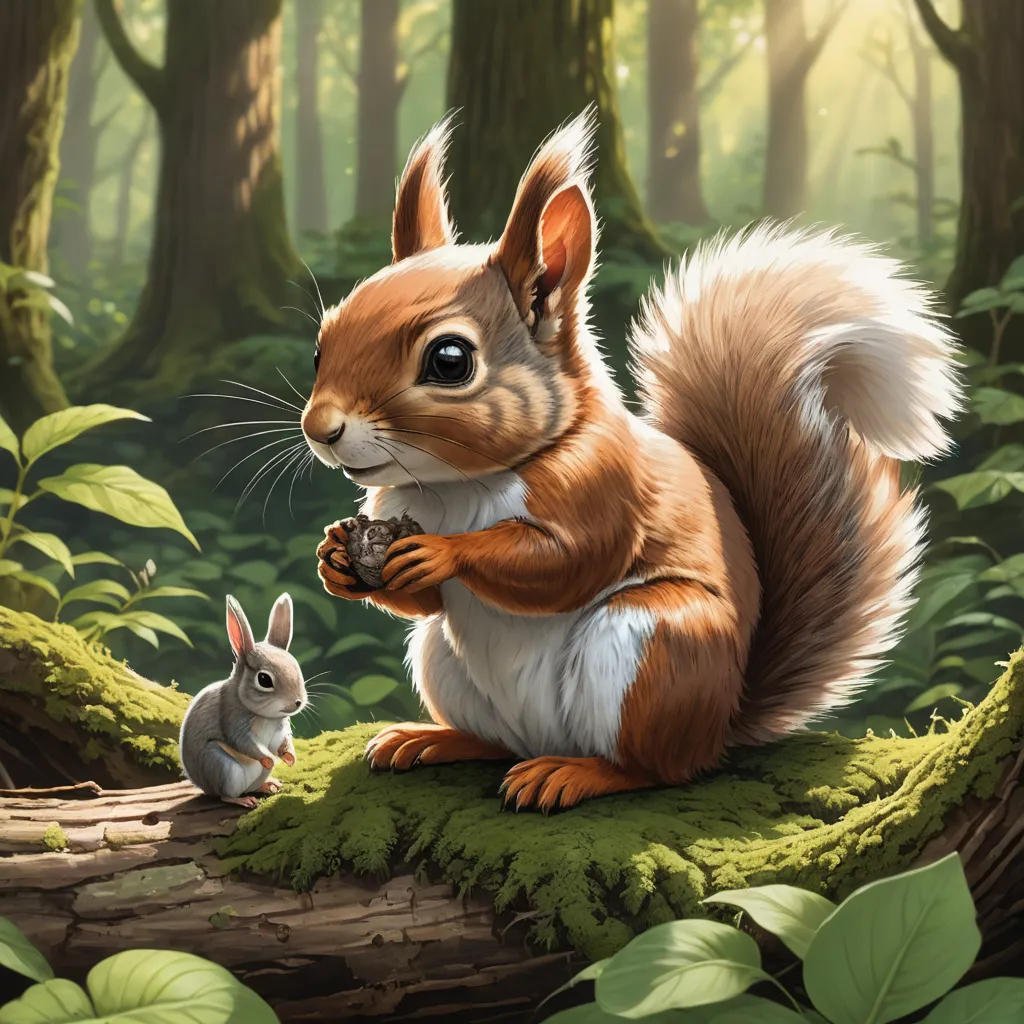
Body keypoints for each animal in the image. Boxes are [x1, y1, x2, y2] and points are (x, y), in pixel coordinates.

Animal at [179, 594, 305, 808]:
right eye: (264, 679)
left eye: (297, 667)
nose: (298, 702)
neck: (266, 716)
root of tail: (206, 788)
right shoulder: (232, 718)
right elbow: (244, 743)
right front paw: (269, 758)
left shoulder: (279, 729)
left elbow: (281, 742)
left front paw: (289, 756)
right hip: (221, 766)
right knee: (225, 795)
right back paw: (243, 799)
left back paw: (267, 785)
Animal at [303, 110, 962, 812]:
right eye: (321, 346)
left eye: (449, 360)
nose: (321, 430)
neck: (455, 487)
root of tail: (722, 723)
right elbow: (425, 606)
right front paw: (337, 560)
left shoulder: (603, 485)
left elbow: (568, 561)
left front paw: (442, 553)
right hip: (446, 664)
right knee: (493, 734)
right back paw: (433, 739)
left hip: (653, 648)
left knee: (655, 769)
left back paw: (573, 774)